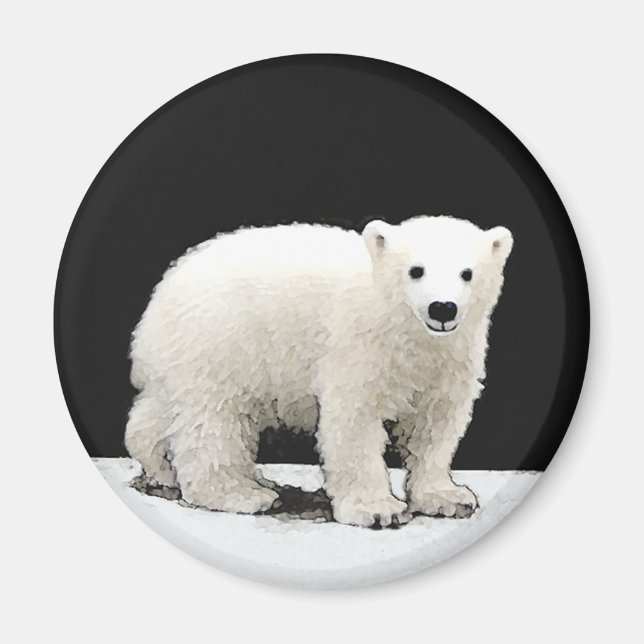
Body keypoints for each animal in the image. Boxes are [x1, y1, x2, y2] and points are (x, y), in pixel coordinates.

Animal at [125, 215, 513, 527]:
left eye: (467, 273)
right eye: (416, 270)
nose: (442, 308)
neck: (404, 329)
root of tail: (158, 300)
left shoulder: (451, 359)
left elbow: (435, 424)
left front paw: (449, 497)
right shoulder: (359, 345)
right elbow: (354, 420)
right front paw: (377, 509)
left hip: (185, 359)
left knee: (161, 412)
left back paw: (162, 468)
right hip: (221, 343)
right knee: (214, 422)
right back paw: (242, 493)